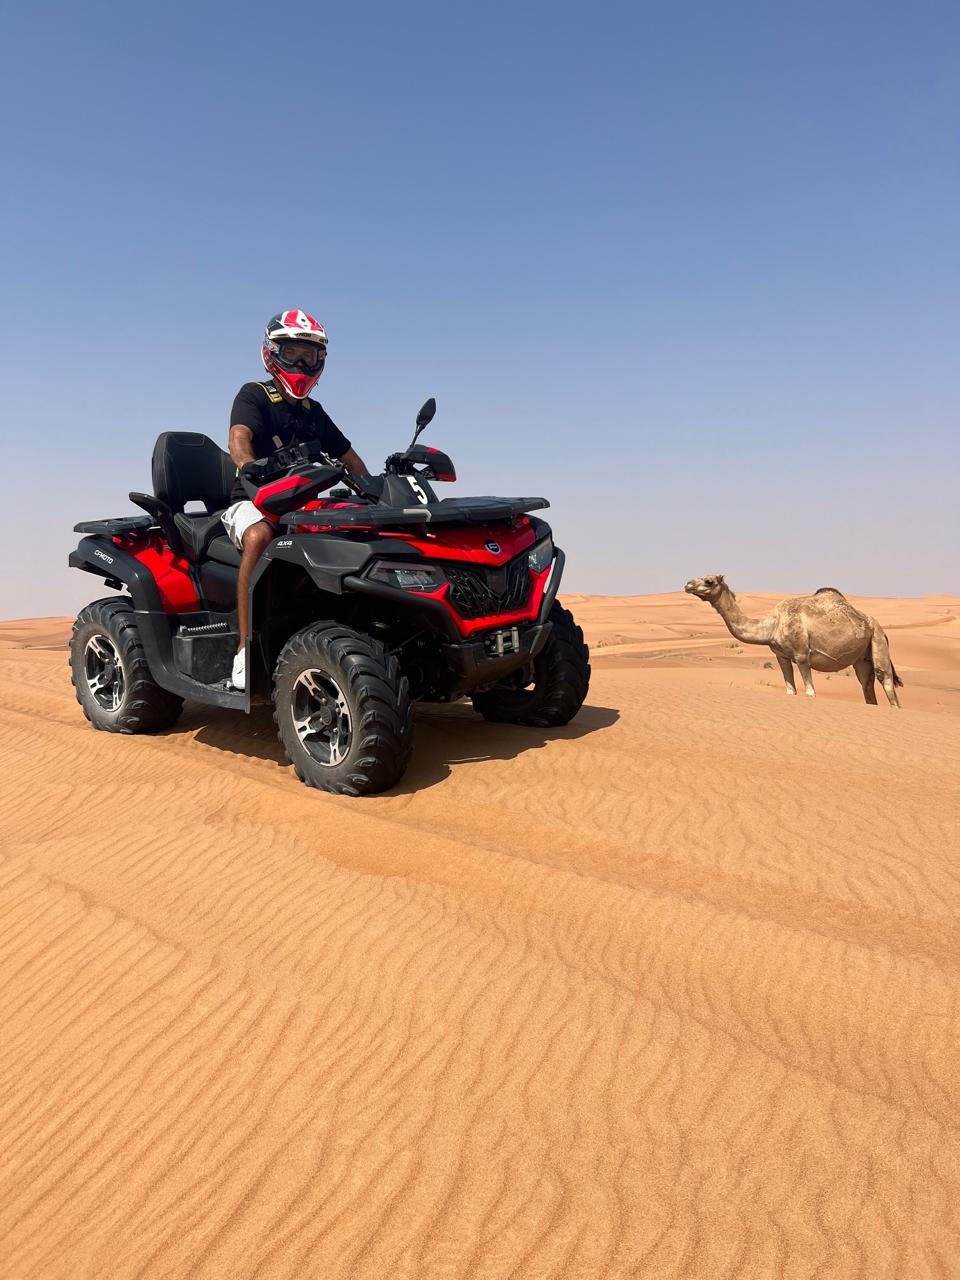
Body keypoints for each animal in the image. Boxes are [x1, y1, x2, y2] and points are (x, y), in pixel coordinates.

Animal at [686, 576, 901, 706]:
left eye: (709, 581)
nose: (688, 584)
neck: (773, 625)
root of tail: (877, 625)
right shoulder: (781, 656)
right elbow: (790, 690)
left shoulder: (801, 654)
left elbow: (810, 692)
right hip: (862, 657)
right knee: (866, 685)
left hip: (878, 639)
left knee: (887, 682)